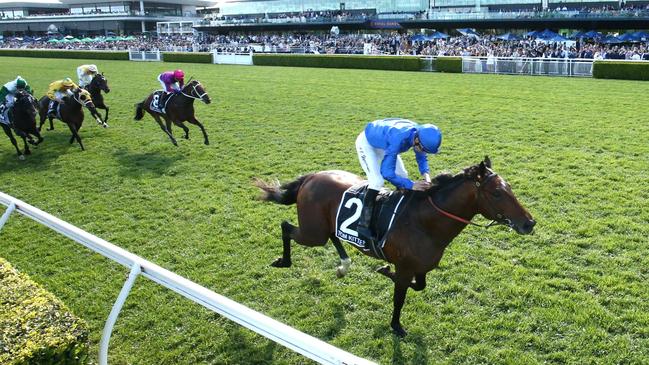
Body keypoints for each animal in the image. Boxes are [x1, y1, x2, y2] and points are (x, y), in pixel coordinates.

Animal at [256, 156, 536, 336]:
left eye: (510, 188)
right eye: (497, 193)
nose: (529, 223)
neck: (425, 221)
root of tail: (312, 176)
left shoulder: (421, 267)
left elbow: (419, 286)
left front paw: (383, 270)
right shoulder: (406, 267)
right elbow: (399, 297)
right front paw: (396, 326)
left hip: (324, 229)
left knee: (333, 237)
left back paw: (343, 265)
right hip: (313, 233)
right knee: (286, 226)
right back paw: (284, 261)